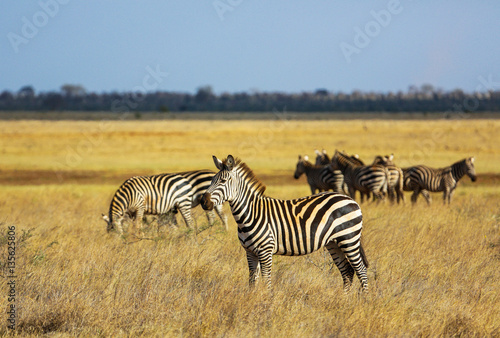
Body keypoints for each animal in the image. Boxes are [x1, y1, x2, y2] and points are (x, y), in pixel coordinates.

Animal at [201, 154, 370, 292]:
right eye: (211, 180)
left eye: (223, 181)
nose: (203, 201)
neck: (250, 214)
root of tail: (350, 199)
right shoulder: (250, 252)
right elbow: (252, 280)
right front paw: (252, 299)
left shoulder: (265, 251)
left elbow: (266, 280)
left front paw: (266, 302)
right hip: (334, 243)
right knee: (347, 271)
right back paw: (344, 298)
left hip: (349, 238)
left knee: (361, 270)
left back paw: (363, 300)